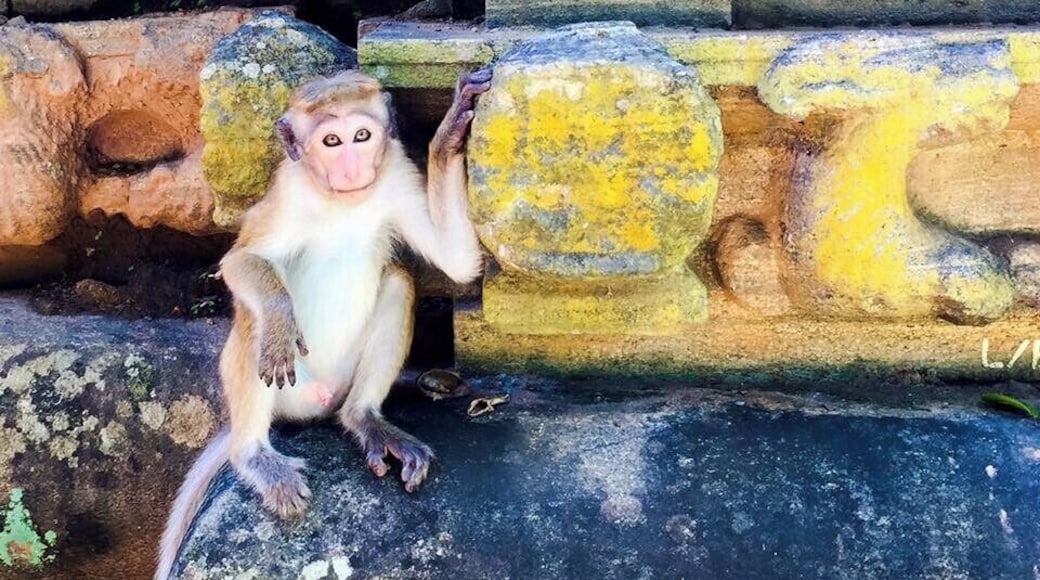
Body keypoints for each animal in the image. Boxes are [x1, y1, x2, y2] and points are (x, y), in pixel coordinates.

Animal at [154, 67, 492, 580]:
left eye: (361, 135)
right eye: (331, 141)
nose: (352, 170)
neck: (340, 202)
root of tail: (317, 402)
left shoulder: (396, 175)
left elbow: (456, 261)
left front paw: (450, 131)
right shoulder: (287, 194)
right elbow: (239, 263)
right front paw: (278, 317)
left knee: (398, 280)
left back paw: (365, 419)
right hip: (289, 390)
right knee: (254, 323)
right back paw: (254, 454)